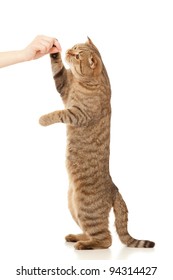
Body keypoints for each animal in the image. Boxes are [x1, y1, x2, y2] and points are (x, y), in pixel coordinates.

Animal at [39, 37, 155, 249]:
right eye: (73, 47)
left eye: (77, 56)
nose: (68, 51)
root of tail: (114, 188)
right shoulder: (64, 86)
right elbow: (58, 69)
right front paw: (54, 50)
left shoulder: (77, 114)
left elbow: (58, 113)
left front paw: (43, 119)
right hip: (73, 206)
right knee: (90, 233)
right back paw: (76, 237)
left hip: (86, 209)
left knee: (105, 239)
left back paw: (83, 245)